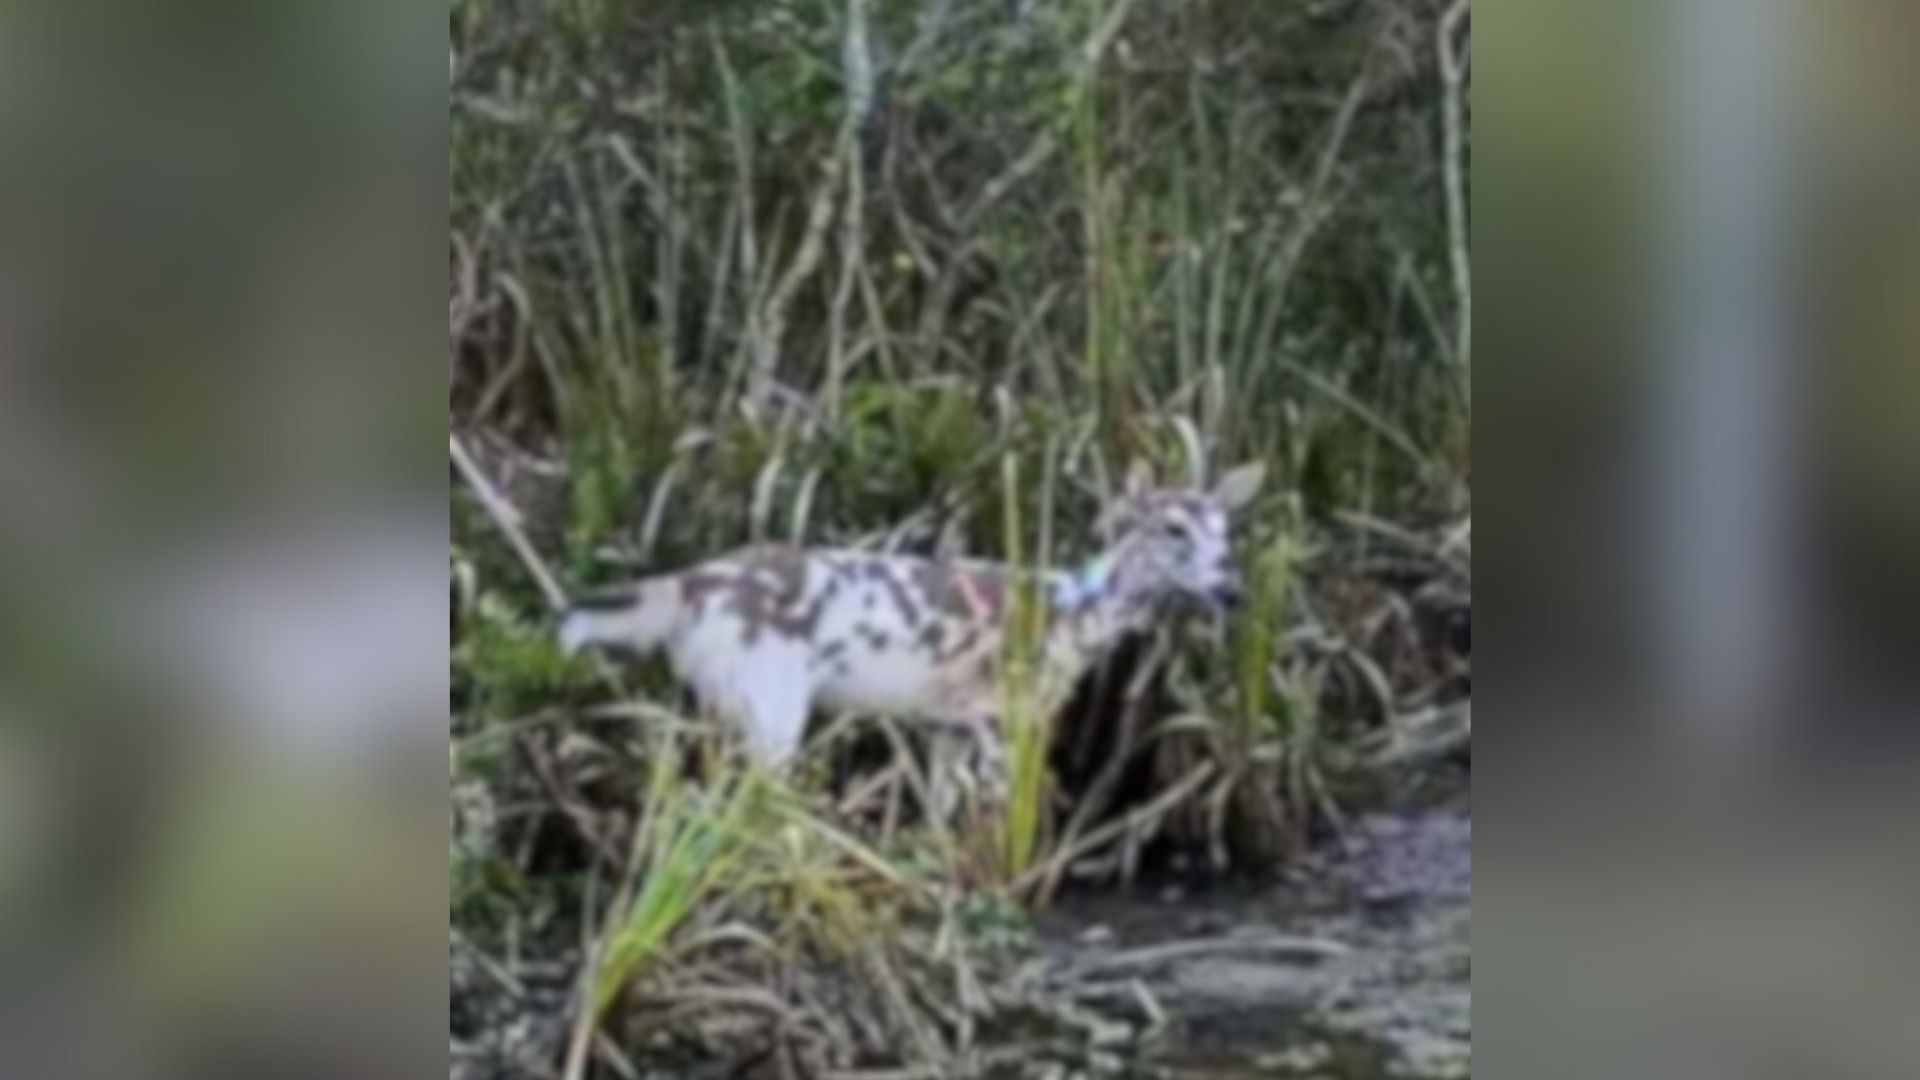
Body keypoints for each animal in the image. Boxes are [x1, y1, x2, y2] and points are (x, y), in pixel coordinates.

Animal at [559, 464, 1265, 798]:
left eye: (1226, 529)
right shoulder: (1007, 712)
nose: (1231, 588)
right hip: (769, 696)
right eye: (1172, 527)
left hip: (722, 697)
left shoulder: (949, 722)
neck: (1073, 617)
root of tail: (686, 588)